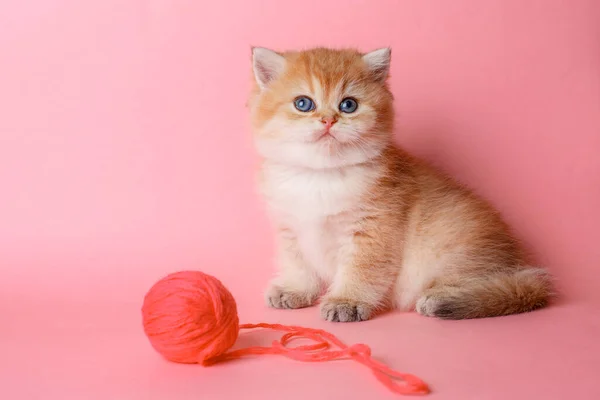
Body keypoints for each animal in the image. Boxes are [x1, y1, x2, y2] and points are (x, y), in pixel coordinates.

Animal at [246, 47, 552, 322]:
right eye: (303, 103)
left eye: (348, 105)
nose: (328, 120)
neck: (321, 175)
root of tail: (515, 262)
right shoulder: (289, 229)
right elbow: (297, 264)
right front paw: (295, 290)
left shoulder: (373, 231)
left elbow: (361, 270)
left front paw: (347, 301)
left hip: (453, 247)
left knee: (498, 288)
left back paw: (445, 298)